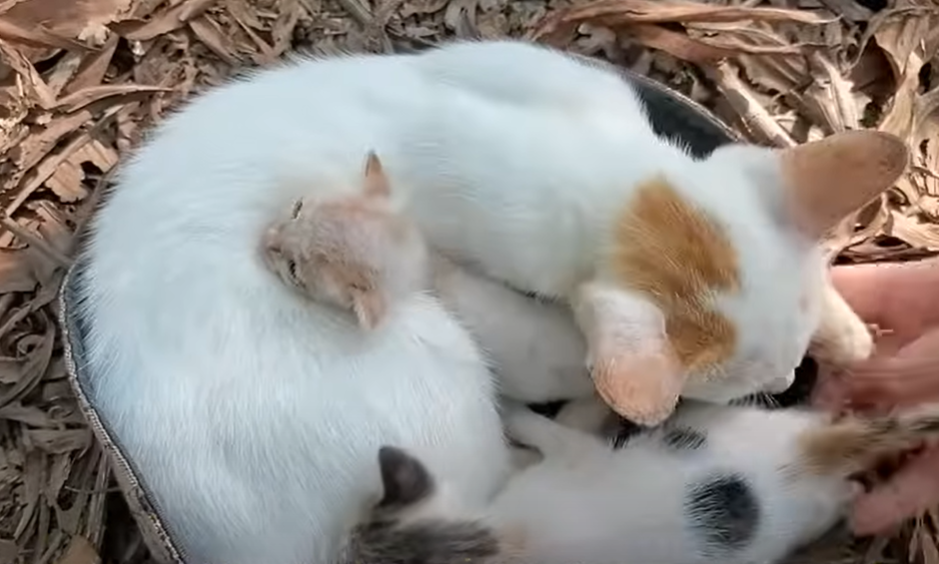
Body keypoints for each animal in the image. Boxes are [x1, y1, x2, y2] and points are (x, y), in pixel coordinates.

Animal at [342, 400, 939, 564]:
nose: (346, 536)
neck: (500, 540)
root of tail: (807, 459)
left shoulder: (575, 457)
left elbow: (548, 428)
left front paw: (511, 412)